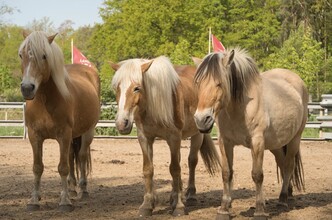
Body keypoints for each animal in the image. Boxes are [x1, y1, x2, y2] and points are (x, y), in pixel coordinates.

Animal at [18, 31, 100, 211]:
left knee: (81, 156)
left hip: (88, 132)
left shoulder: (64, 135)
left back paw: (82, 190)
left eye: (44, 56)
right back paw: (71, 188)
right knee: (71, 156)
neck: (45, 101)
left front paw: (64, 202)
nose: (27, 88)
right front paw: (34, 200)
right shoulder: (35, 136)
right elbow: (37, 167)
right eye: (21, 55)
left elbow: (62, 167)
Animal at [110, 55, 222, 217]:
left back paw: (190, 195)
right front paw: (147, 205)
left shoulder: (173, 138)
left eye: (137, 88)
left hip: (197, 134)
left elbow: (175, 169)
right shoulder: (145, 138)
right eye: (117, 88)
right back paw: (174, 196)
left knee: (191, 161)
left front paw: (179, 207)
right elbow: (148, 169)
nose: (121, 123)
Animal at [193, 48, 308, 220]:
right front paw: (224, 209)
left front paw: (259, 210)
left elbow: (257, 175)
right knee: (282, 163)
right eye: (198, 84)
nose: (201, 120)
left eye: (219, 83)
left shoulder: (257, 142)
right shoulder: (225, 142)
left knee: (288, 165)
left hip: (295, 139)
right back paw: (288, 193)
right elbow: (226, 173)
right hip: (275, 144)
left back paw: (282, 200)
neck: (240, 109)